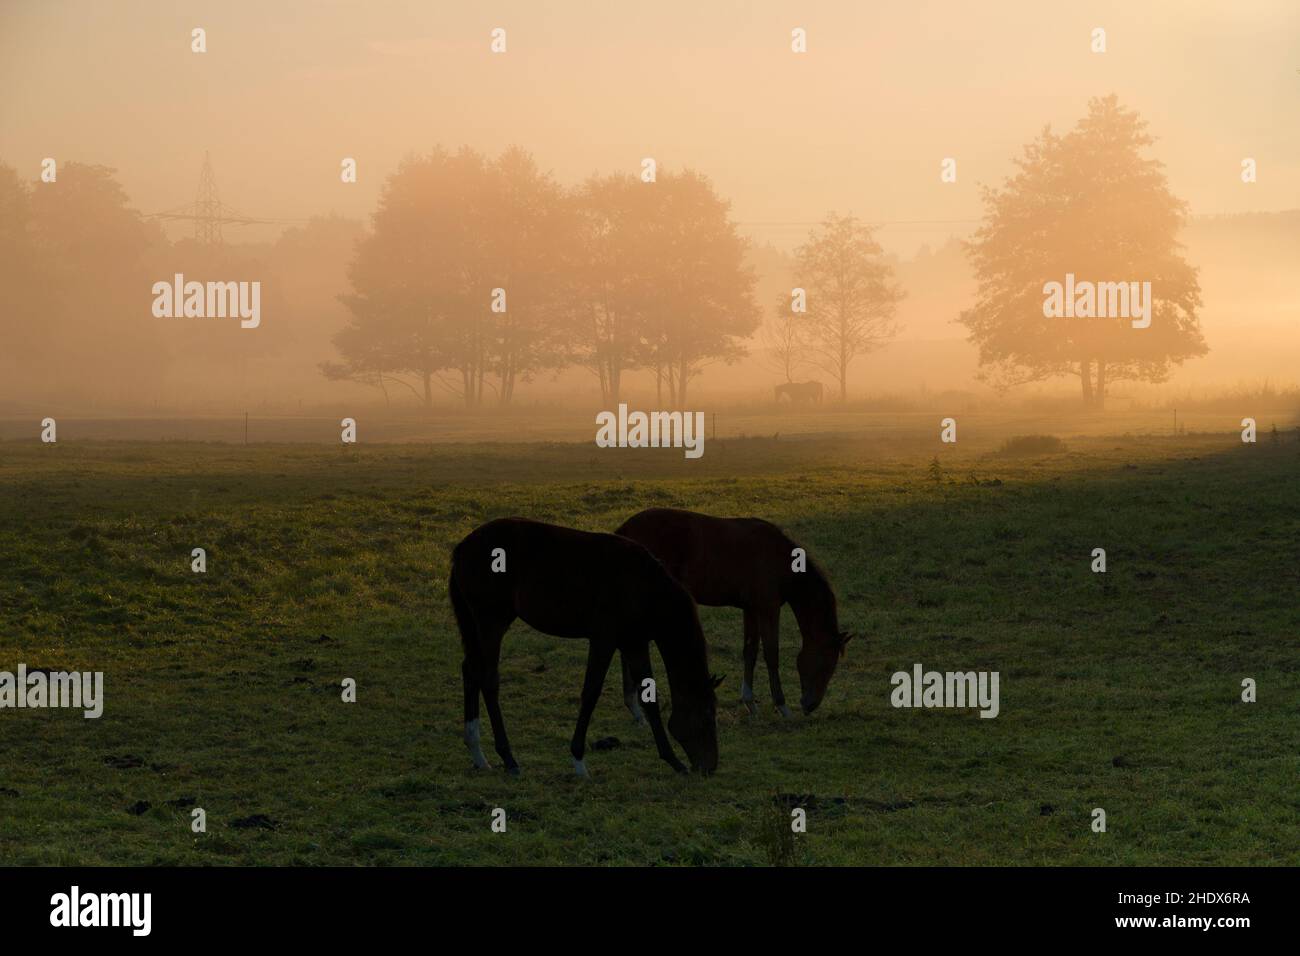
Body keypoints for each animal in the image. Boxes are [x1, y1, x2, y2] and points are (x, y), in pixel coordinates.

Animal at [449, 515, 722, 780]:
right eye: (707, 714)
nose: (709, 767)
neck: (641, 586)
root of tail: (463, 547)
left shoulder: (634, 643)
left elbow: (649, 698)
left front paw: (673, 761)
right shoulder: (604, 640)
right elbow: (591, 693)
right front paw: (579, 762)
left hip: (479, 625)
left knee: (471, 671)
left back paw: (478, 753)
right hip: (491, 623)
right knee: (488, 679)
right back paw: (508, 759)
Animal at [616, 509, 852, 717]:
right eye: (826, 665)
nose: (810, 705)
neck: (781, 560)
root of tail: (624, 530)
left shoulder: (752, 609)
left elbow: (750, 652)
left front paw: (750, 702)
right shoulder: (768, 609)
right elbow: (771, 654)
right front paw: (782, 706)